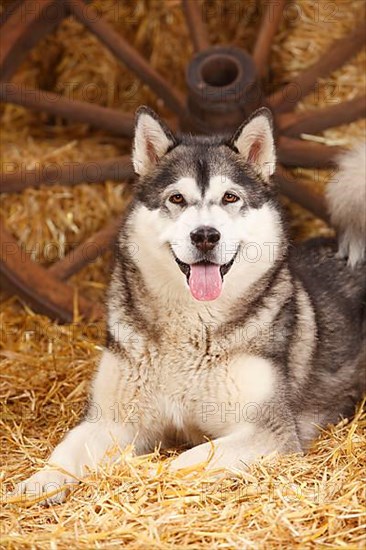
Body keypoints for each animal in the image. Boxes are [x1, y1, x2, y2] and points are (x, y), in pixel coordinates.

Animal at [15, 106, 364, 504]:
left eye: (230, 198)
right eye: (177, 199)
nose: (206, 236)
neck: (192, 326)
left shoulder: (268, 430)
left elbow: (185, 461)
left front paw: (145, 474)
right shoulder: (110, 419)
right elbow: (68, 449)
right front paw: (41, 481)